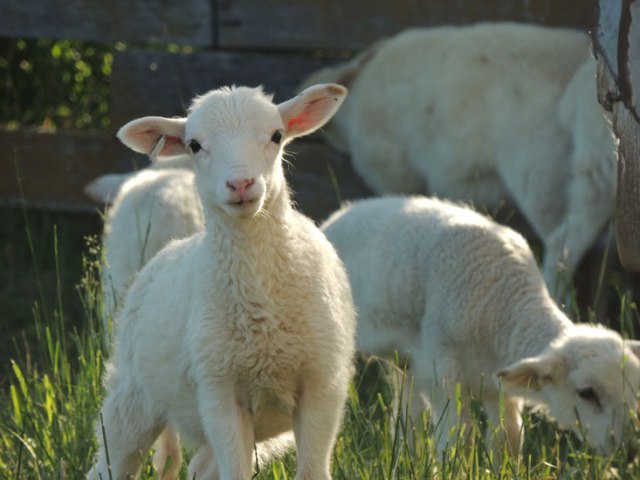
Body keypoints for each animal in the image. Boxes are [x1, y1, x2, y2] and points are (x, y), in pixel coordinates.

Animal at [86, 83, 356, 480]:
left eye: (277, 136)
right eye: (195, 145)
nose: (241, 183)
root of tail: (168, 250)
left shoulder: (323, 386)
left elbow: (311, 472)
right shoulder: (219, 392)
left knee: (199, 466)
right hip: (133, 397)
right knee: (110, 463)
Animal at [321, 196, 640, 458]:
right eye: (587, 393)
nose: (626, 451)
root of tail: (338, 214)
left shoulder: (498, 386)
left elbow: (509, 438)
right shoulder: (442, 372)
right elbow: (457, 438)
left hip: (405, 362)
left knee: (406, 411)